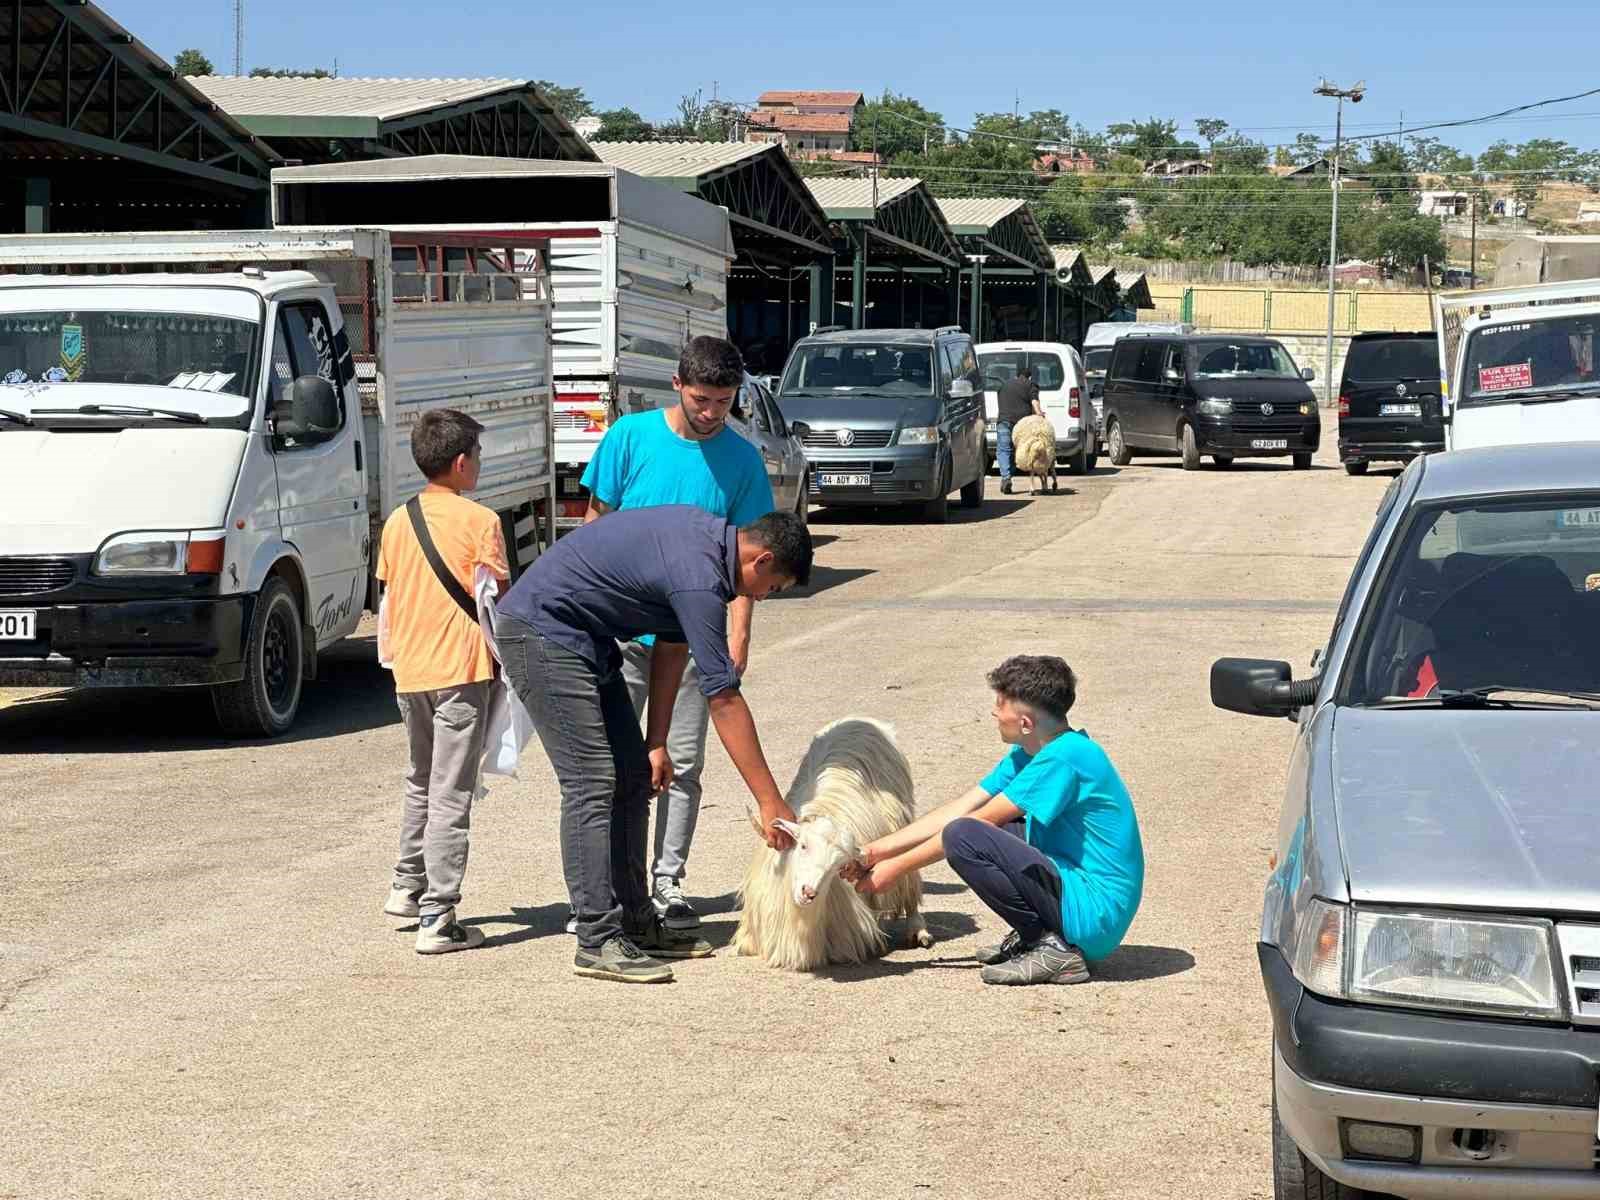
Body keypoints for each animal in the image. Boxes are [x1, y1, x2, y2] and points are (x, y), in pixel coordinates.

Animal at [732, 720, 934, 972]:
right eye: (803, 846)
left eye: (838, 866)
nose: (809, 893)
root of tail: (861, 719)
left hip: (902, 820)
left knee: (909, 883)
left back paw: (918, 931)